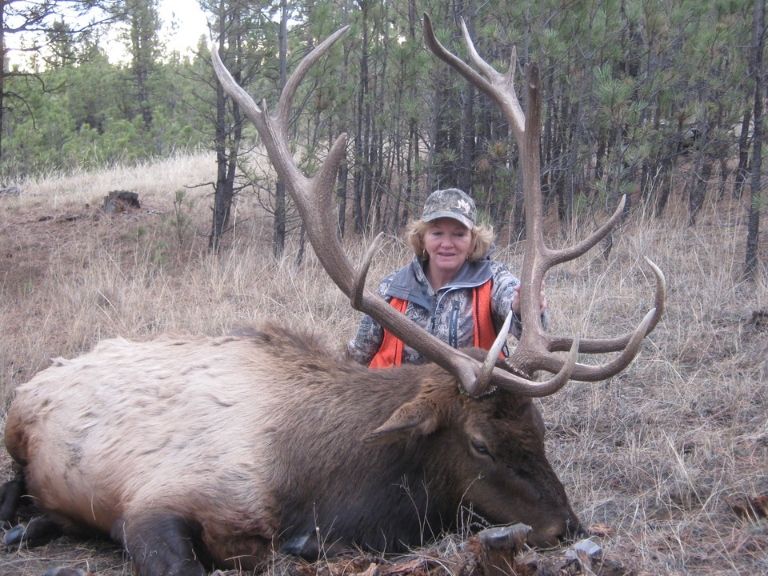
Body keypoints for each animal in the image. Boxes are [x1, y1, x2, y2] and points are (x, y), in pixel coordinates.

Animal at [0, 13, 664, 576]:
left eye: (541, 430)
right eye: (480, 443)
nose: (568, 524)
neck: (318, 487)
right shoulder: (153, 500)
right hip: (16, 427)